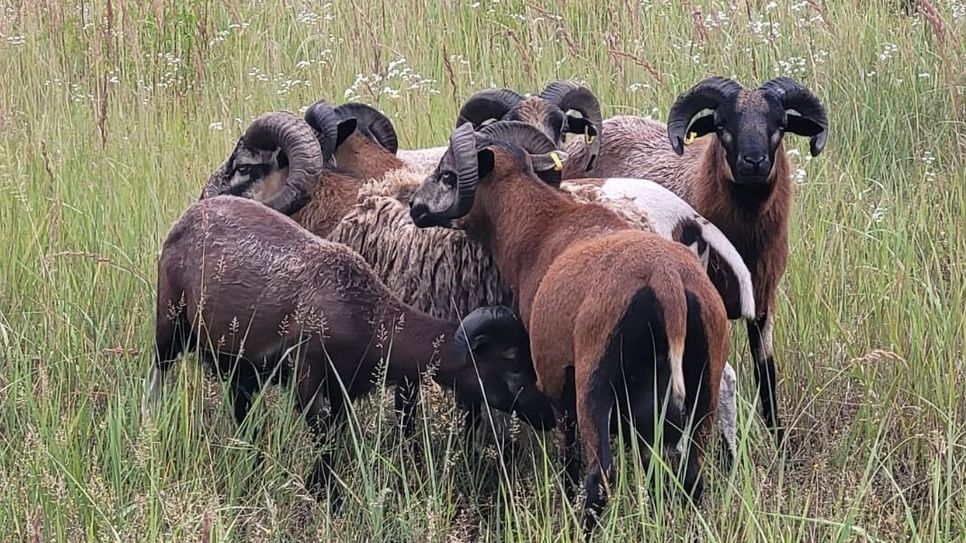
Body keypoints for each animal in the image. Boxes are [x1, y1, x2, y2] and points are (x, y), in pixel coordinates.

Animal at [408, 120, 732, 532]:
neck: (540, 225)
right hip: (703, 386)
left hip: (594, 386)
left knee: (600, 477)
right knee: (691, 473)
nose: (414, 207)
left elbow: (570, 455)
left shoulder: (558, 380)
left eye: (448, 174)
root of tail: (667, 281)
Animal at [560, 76, 832, 444]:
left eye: (780, 124)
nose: (754, 162)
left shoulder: (763, 302)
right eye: (721, 124)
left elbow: (766, 374)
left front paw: (778, 440)